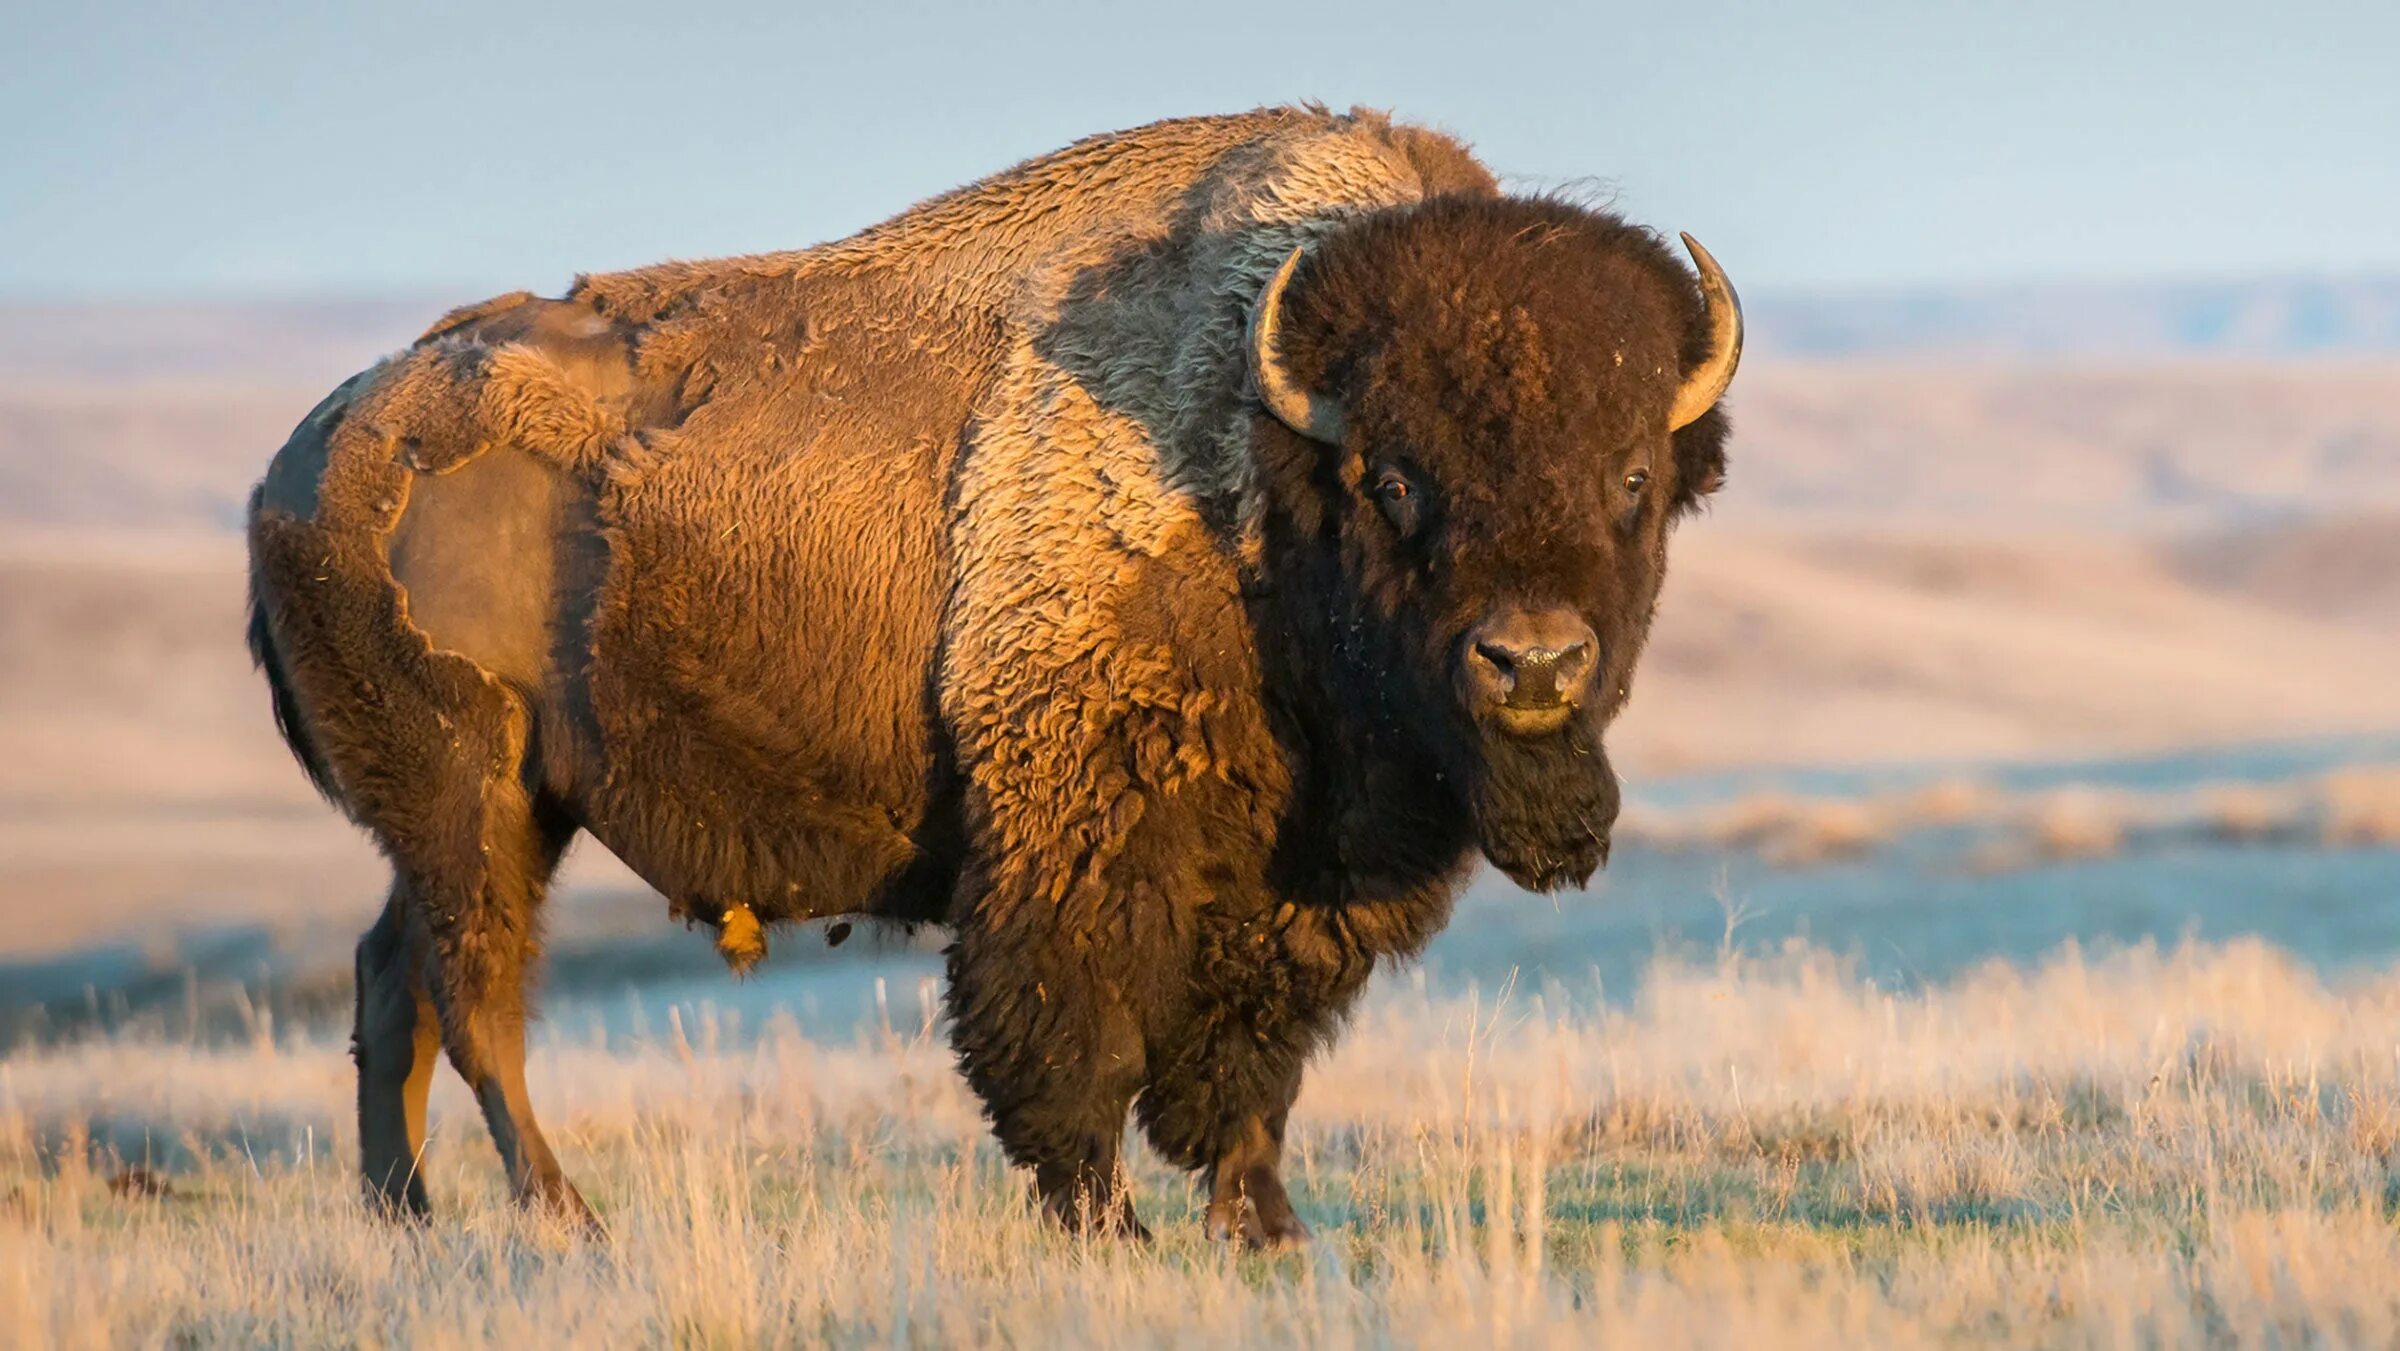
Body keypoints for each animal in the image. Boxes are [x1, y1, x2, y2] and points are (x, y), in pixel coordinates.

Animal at [243, 105, 1747, 1247]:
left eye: (1631, 478)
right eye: (1395, 479)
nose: (1533, 661)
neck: (1260, 460)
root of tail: (307, 456)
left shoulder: (1295, 885)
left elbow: (1249, 1061)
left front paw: (1265, 1227)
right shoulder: (1076, 833)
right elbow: (1073, 1038)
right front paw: (1112, 1228)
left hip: (492, 812)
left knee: (392, 977)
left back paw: (407, 1216)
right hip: (473, 794)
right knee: (475, 994)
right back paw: (564, 1215)